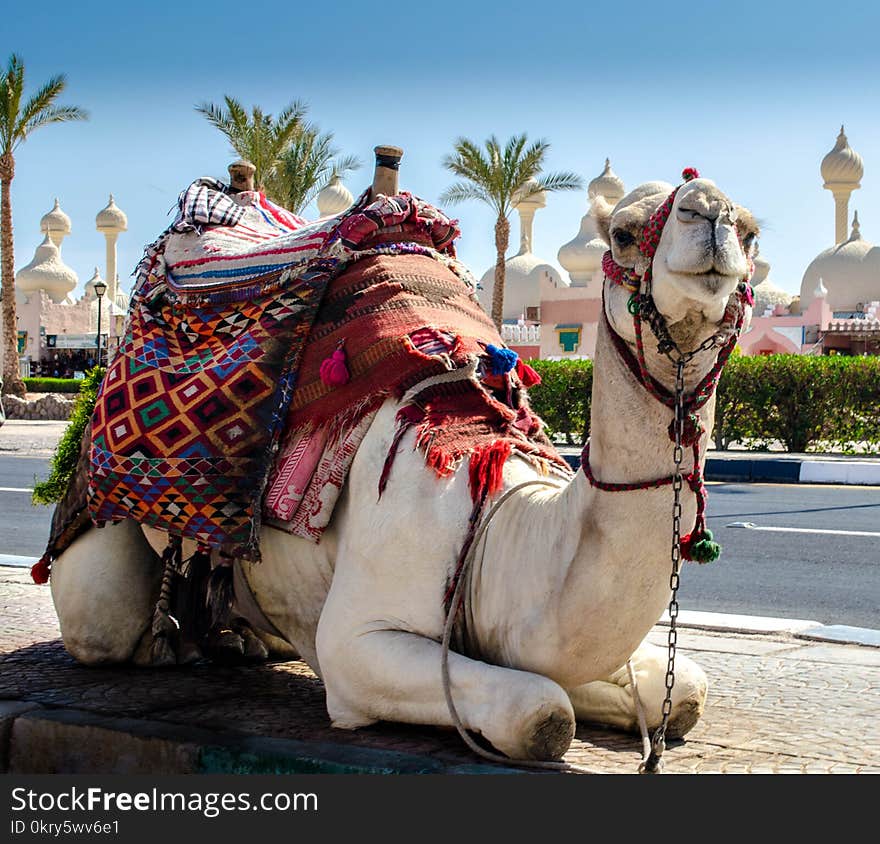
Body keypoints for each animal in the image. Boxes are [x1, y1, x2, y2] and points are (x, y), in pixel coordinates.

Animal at [46, 165, 756, 764]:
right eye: (626, 233)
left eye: (751, 231)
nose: (714, 213)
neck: (494, 521)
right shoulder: (358, 642)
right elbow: (542, 713)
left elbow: (681, 691)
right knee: (102, 622)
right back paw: (169, 644)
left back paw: (237, 640)